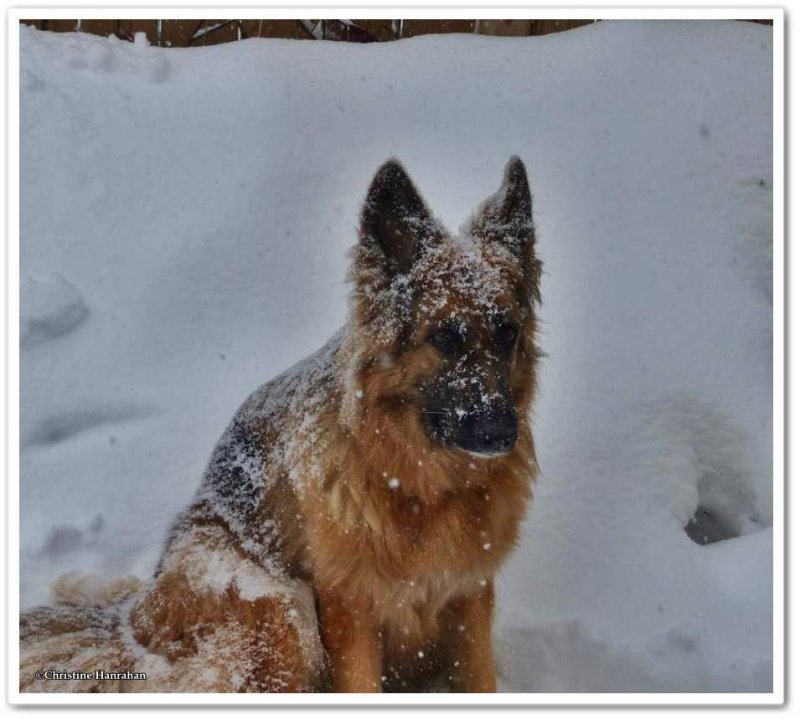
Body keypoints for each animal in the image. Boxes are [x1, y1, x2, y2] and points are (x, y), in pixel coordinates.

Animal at [20, 158, 544, 692]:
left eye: (507, 332)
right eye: (444, 337)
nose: (501, 434)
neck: (424, 487)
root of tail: (136, 618)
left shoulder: (471, 593)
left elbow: (480, 677)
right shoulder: (351, 607)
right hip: (280, 606)